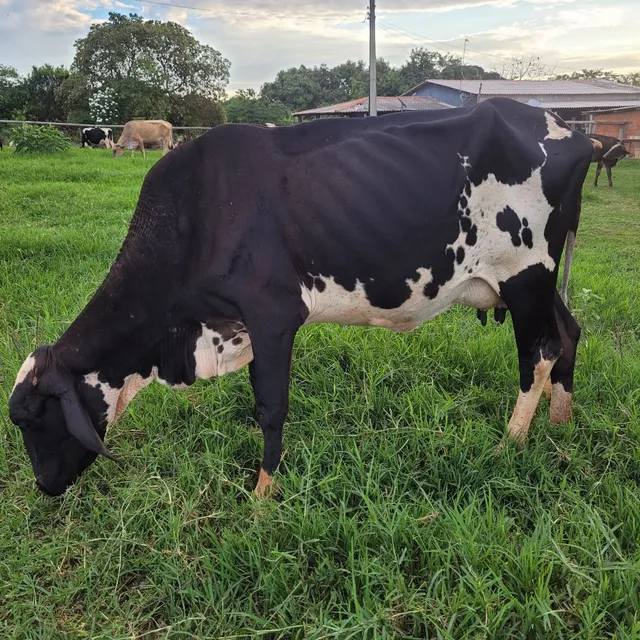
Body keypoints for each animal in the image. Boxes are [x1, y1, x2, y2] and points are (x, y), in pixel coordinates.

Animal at [9, 98, 593, 500]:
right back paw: (560, 426)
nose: (43, 487)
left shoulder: (272, 314)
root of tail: (571, 131)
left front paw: (263, 493)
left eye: (34, 418)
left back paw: (509, 444)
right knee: (569, 333)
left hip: (526, 276)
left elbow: (270, 407)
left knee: (539, 352)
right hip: (535, 284)